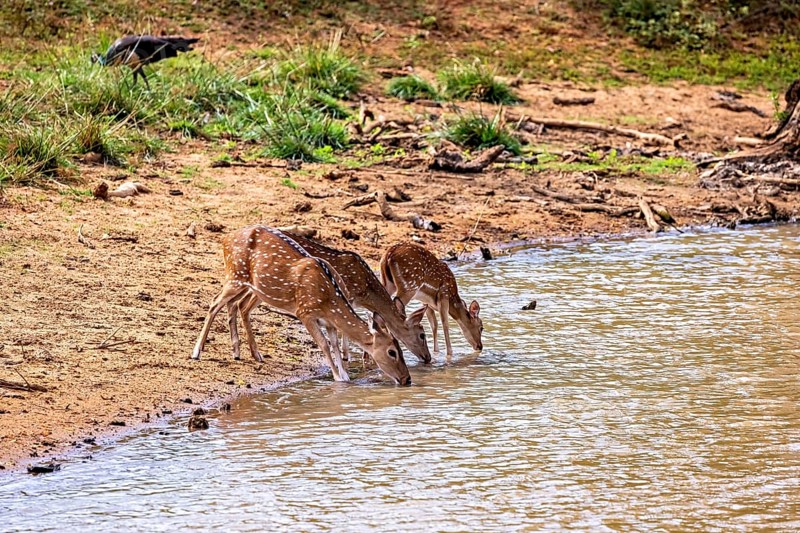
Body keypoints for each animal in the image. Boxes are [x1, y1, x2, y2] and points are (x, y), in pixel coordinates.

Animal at [191, 226, 411, 385]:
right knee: (214, 302)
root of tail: (225, 239)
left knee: (234, 305)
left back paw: (243, 353)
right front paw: (338, 378)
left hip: (250, 286)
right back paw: (196, 353)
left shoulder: (329, 322)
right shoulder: (304, 312)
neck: (330, 298)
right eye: (392, 351)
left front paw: (345, 377)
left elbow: (334, 345)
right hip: (234, 276)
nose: (407, 379)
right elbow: (323, 344)